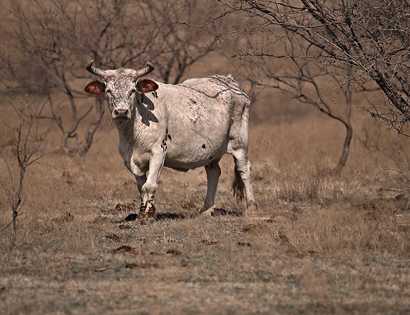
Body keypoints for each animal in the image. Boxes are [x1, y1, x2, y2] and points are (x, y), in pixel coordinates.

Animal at [84, 62, 256, 217]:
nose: (121, 111)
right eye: (108, 90)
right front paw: (142, 211)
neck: (132, 133)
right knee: (213, 172)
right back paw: (206, 210)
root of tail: (229, 81)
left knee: (244, 169)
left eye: (132, 90)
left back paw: (251, 206)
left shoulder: (158, 152)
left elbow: (149, 185)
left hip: (239, 143)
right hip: (212, 151)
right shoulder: (130, 159)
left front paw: (148, 214)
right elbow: (141, 187)